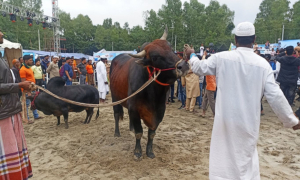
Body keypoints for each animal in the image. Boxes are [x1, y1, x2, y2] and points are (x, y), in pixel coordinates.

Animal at [110, 27, 190, 158]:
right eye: (155, 57)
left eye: (171, 48)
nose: (183, 66)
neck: (153, 94)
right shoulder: (134, 109)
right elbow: (139, 133)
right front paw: (138, 152)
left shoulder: (159, 111)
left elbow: (151, 134)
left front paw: (150, 151)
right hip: (115, 97)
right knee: (116, 114)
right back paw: (117, 132)